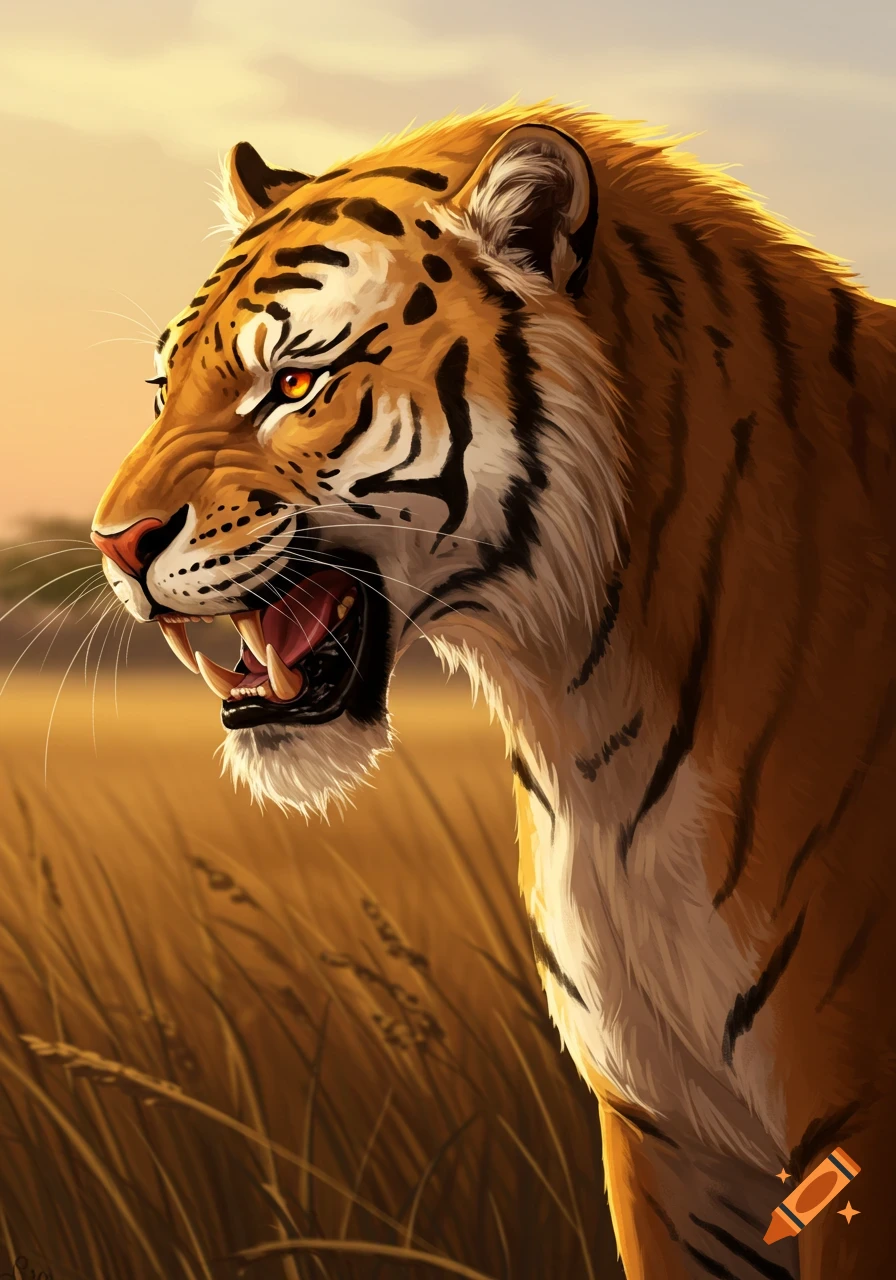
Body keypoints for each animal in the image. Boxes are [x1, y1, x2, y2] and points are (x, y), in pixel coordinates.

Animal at [90, 102, 896, 1278]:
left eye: (292, 384)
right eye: (162, 391)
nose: (112, 541)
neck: (591, 716)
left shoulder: (855, 1130)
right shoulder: (663, 1137)